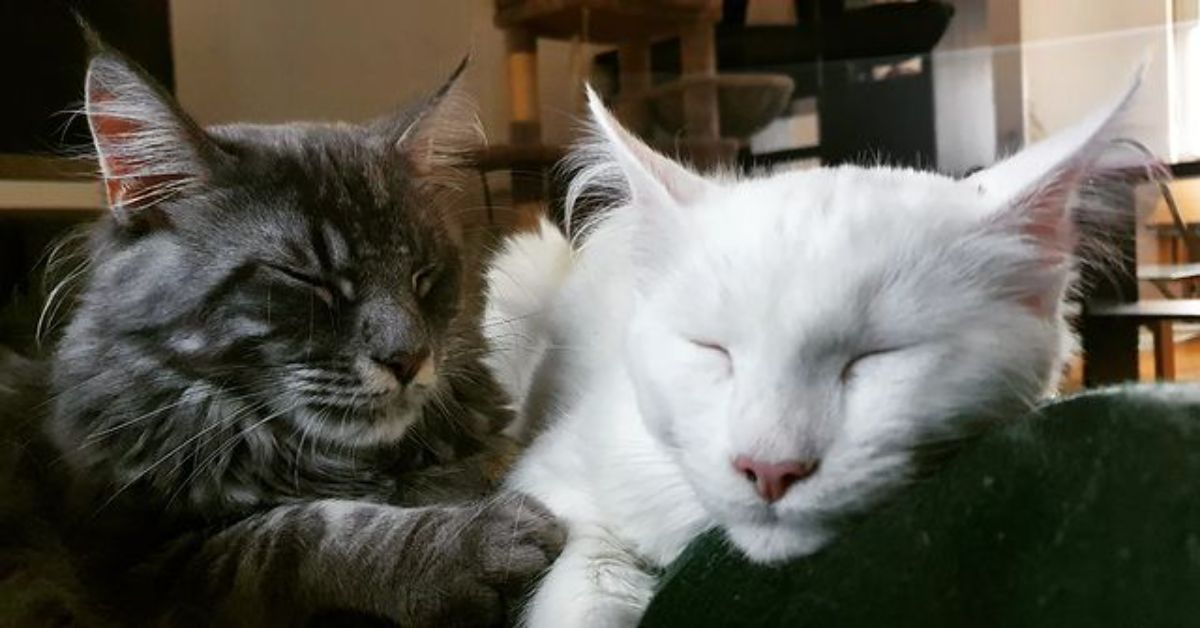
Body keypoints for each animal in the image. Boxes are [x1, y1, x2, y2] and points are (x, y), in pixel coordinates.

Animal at [0, 45, 561, 628]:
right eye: (308, 280)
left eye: (423, 276)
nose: (408, 359)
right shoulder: (144, 561)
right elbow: (301, 536)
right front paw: (480, 540)